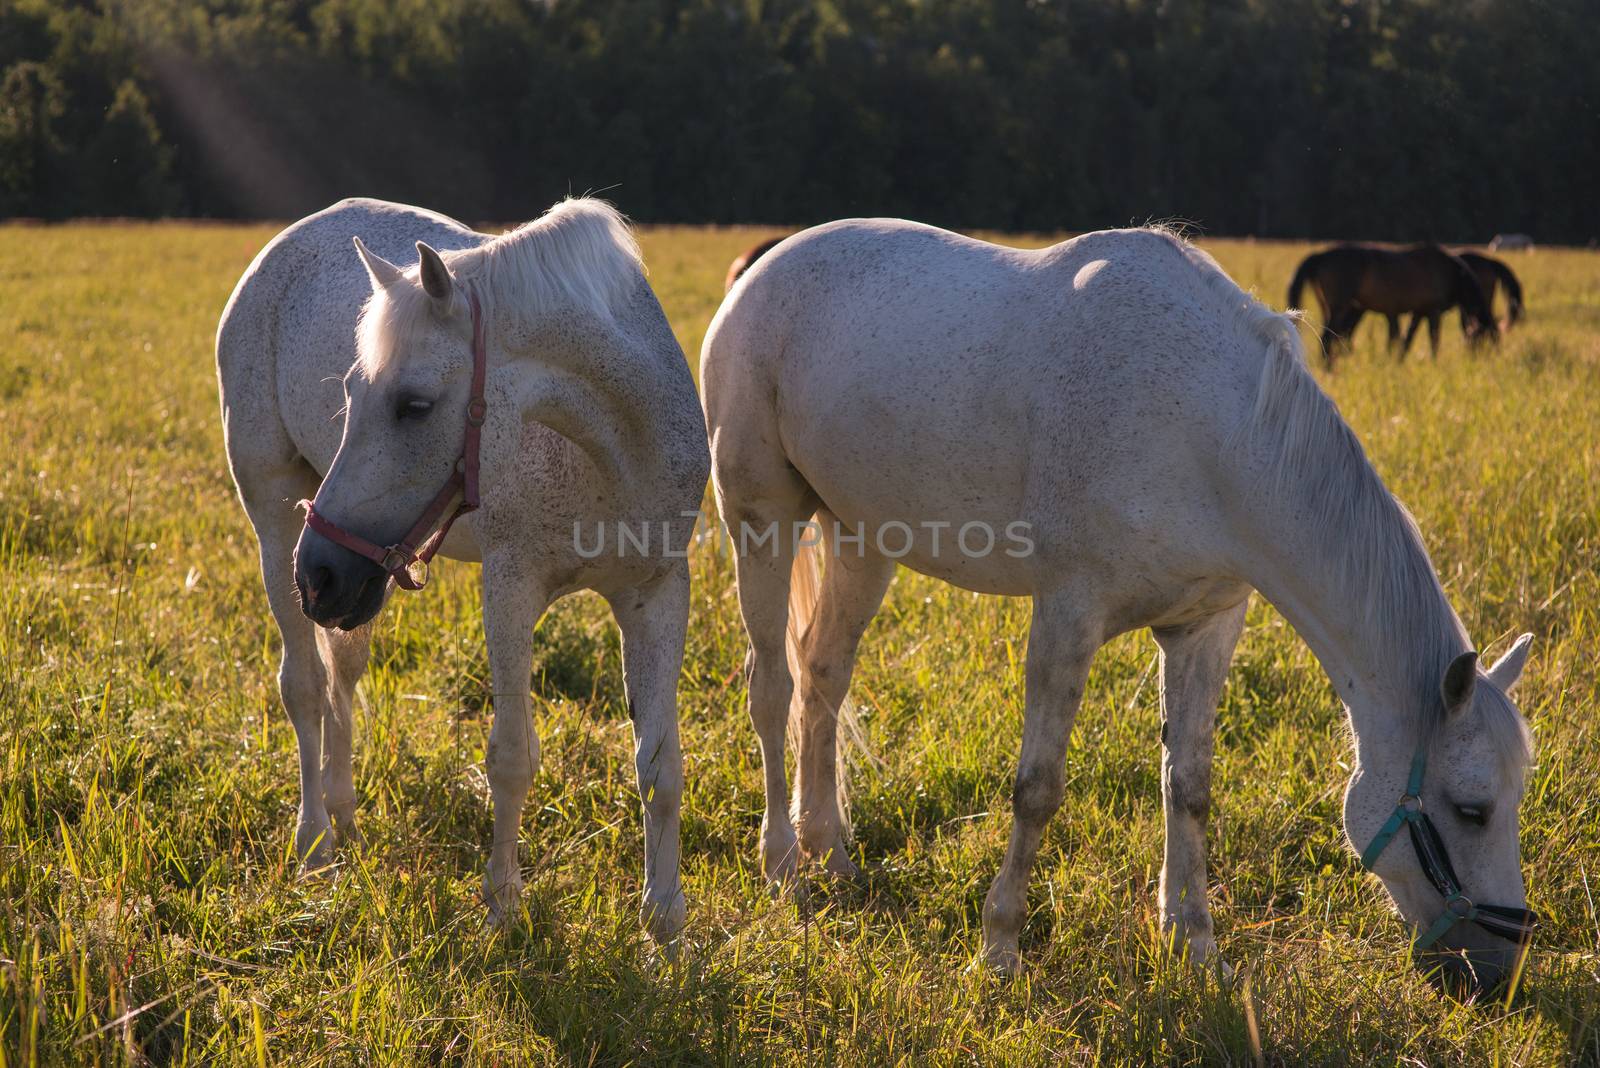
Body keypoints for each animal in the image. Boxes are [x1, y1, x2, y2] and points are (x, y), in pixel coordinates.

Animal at [217, 194, 707, 940]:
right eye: (351, 392)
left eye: (414, 404)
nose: (319, 574)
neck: (616, 451)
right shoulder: (509, 587)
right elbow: (512, 758)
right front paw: (502, 905)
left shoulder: (657, 593)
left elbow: (660, 765)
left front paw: (666, 924)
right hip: (280, 527)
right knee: (303, 686)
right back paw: (315, 843)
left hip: (359, 587)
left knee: (342, 674)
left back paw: (344, 815)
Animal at [1286, 244, 1497, 364]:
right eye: (1486, 336)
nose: (1487, 359)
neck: (1452, 274)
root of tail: (1320, 255)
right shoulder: (1433, 311)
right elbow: (1434, 338)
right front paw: (1435, 362)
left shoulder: (1419, 311)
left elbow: (1408, 339)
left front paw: (1400, 361)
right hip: (1340, 307)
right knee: (1328, 337)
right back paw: (1329, 366)